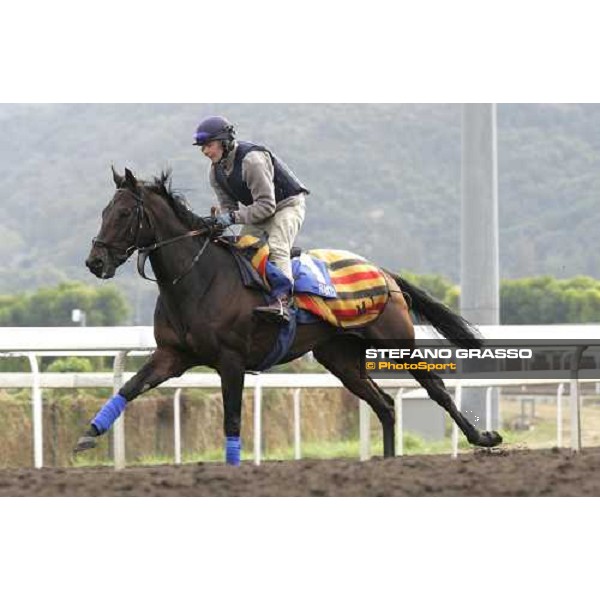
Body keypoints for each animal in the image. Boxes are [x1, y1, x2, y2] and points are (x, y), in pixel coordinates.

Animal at [74, 171, 502, 462]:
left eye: (124, 213)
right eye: (103, 211)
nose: (94, 261)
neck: (197, 279)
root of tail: (383, 271)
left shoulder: (231, 361)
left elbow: (232, 419)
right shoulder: (172, 356)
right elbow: (129, 388)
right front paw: (89, 433)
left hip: (396, 340)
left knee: (436, 389)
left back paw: (483, 438)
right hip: (340, 357)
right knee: (383, 404)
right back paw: (385, 460)